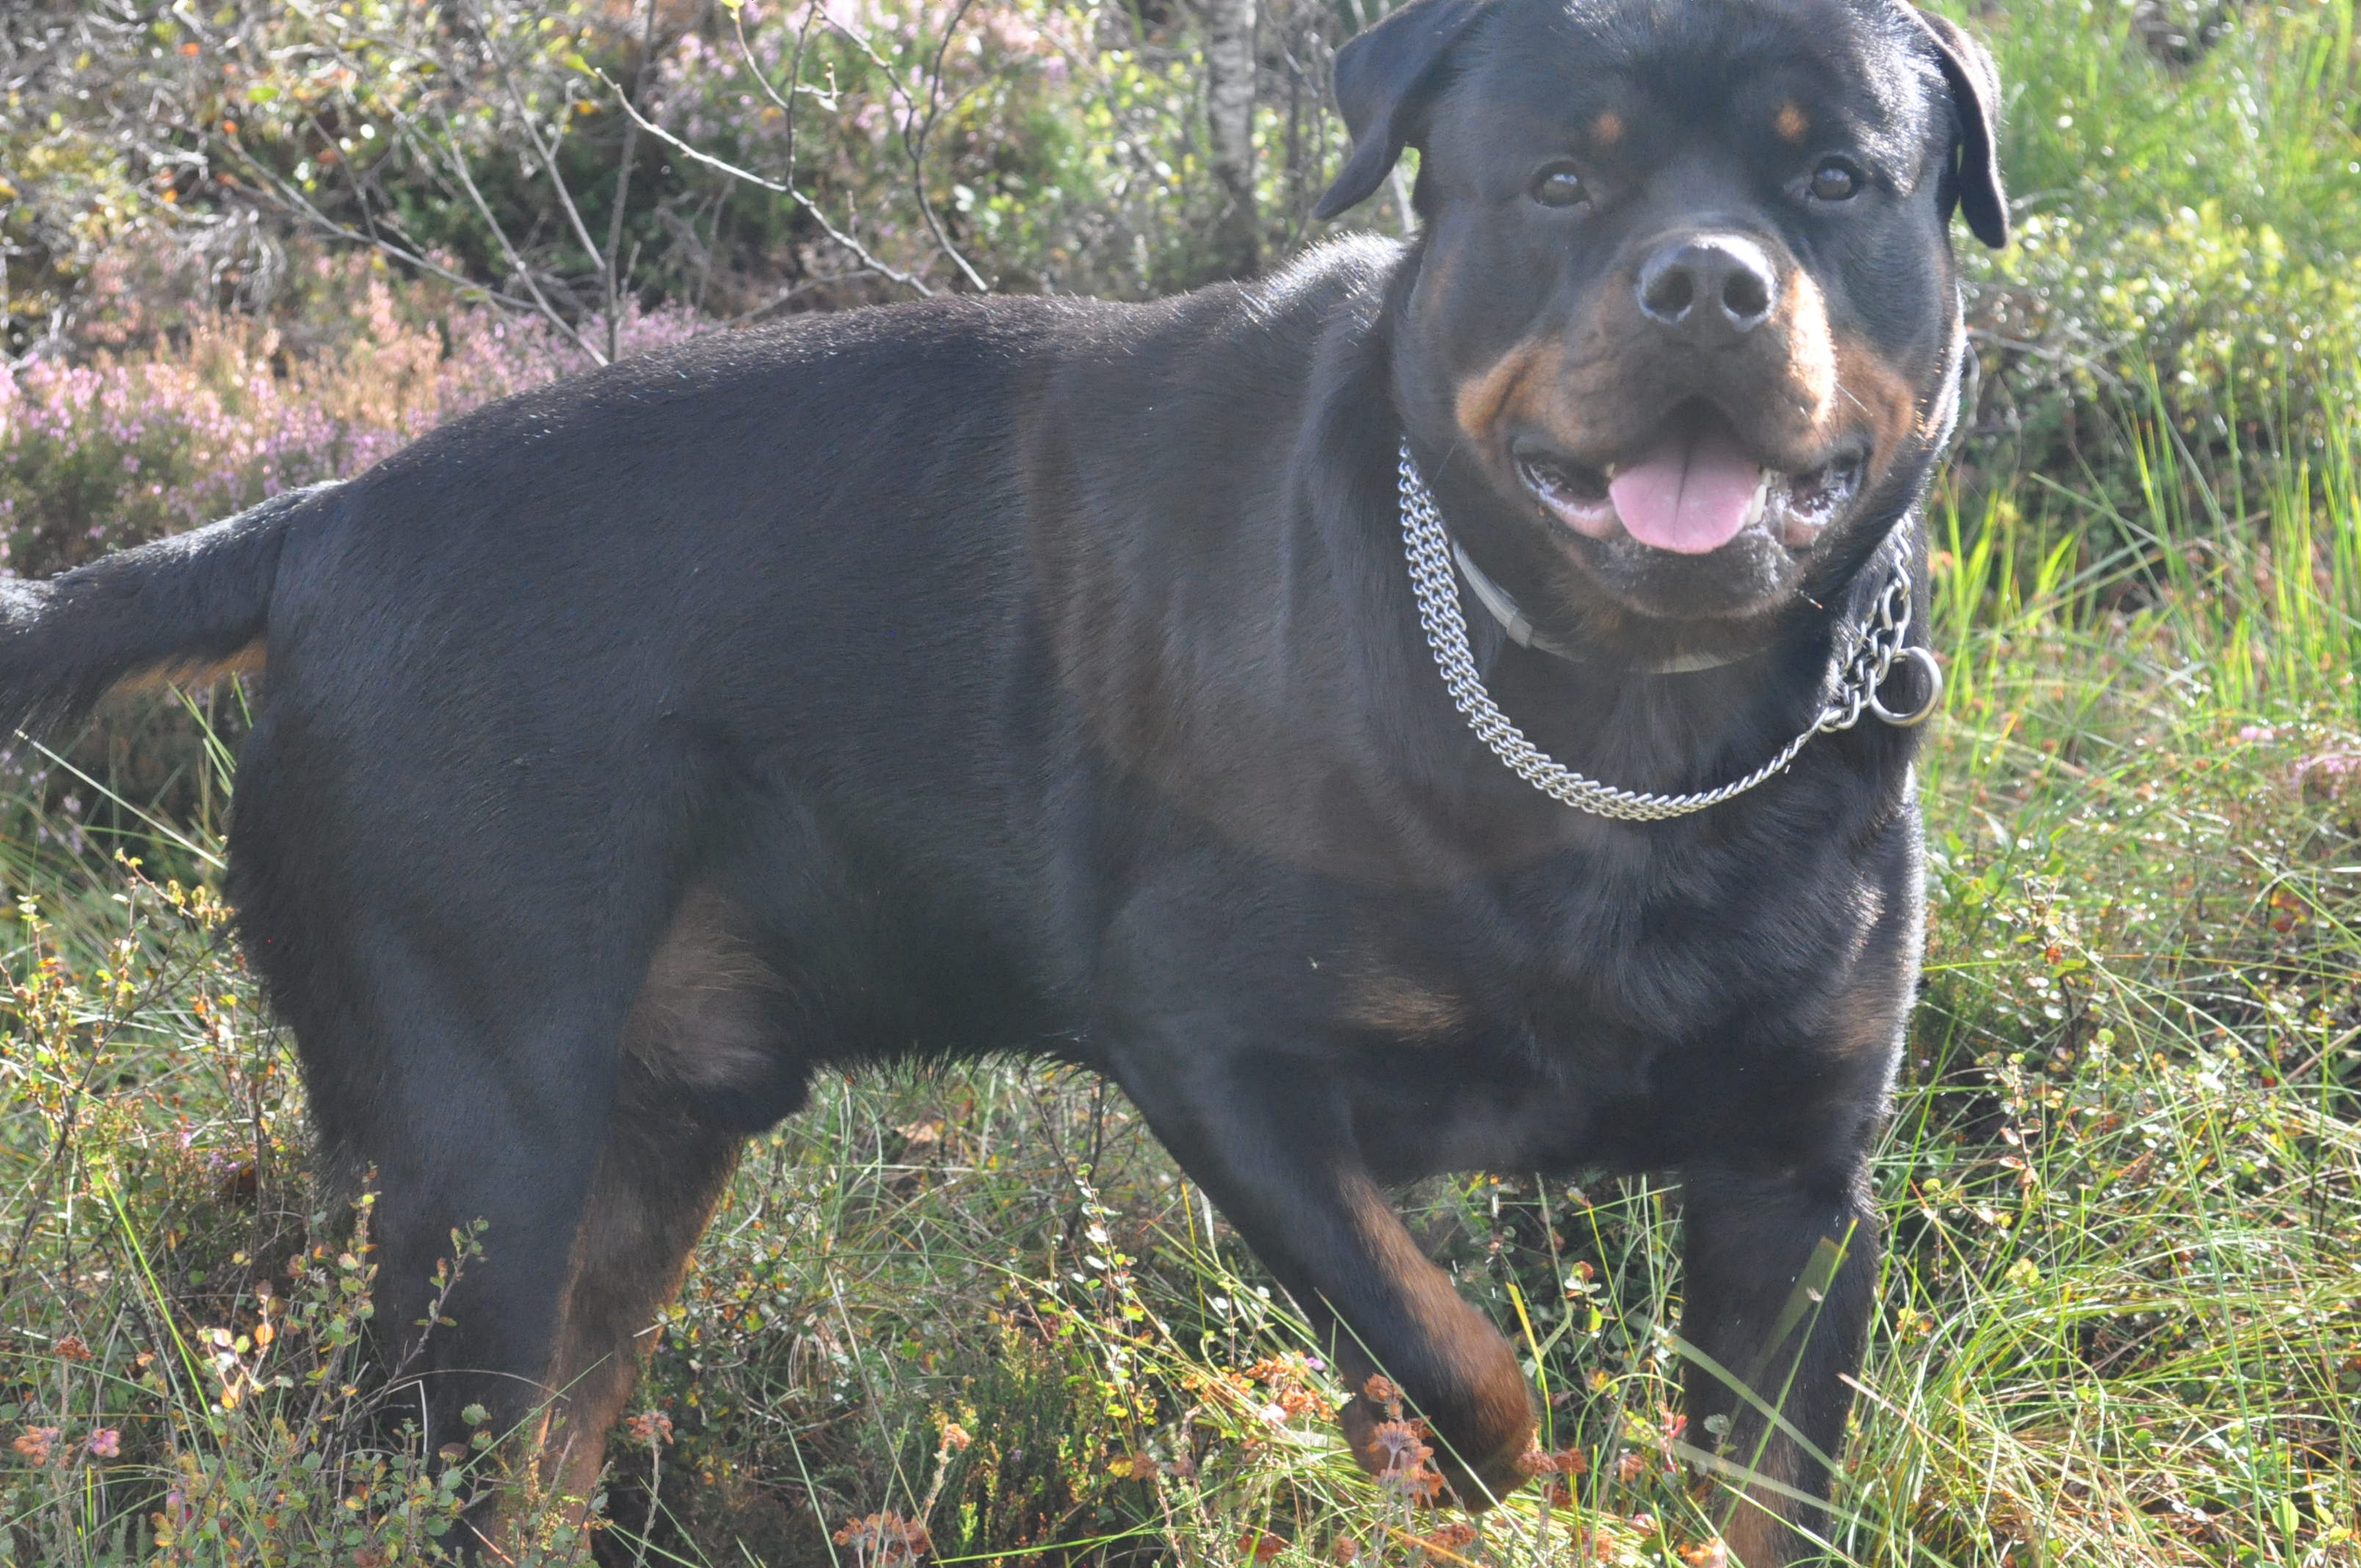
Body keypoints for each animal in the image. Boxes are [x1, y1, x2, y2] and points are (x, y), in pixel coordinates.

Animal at [0, 0, 2003, 1558]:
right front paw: (1495, 1488)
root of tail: (314, 523)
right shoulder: (1218, 1058)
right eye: (1561, 186)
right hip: (479, 1160)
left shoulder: (1792, 1186)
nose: (1707, 283)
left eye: (1837, 182)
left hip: (637, 1153)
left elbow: (1761, 1495)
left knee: (537, 1473)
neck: (1617, 727)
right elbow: (1456, 1365)